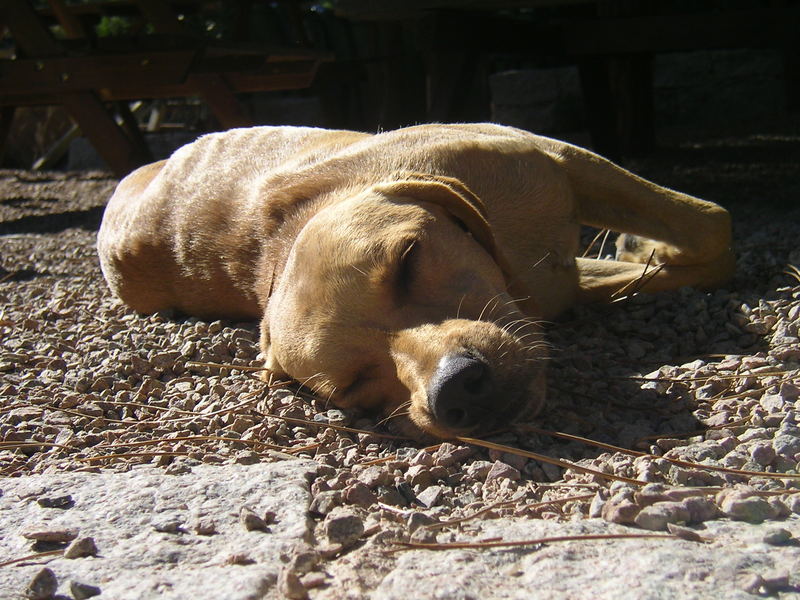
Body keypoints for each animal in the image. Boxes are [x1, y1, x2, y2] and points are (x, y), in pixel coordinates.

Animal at [97, 123, 736, 440]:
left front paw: (651, 247)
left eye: (407, 258)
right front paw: (649, 254)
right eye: (353, 385)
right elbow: (699, 249)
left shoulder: (562, 160)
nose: (453, 391)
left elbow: (711, 229)